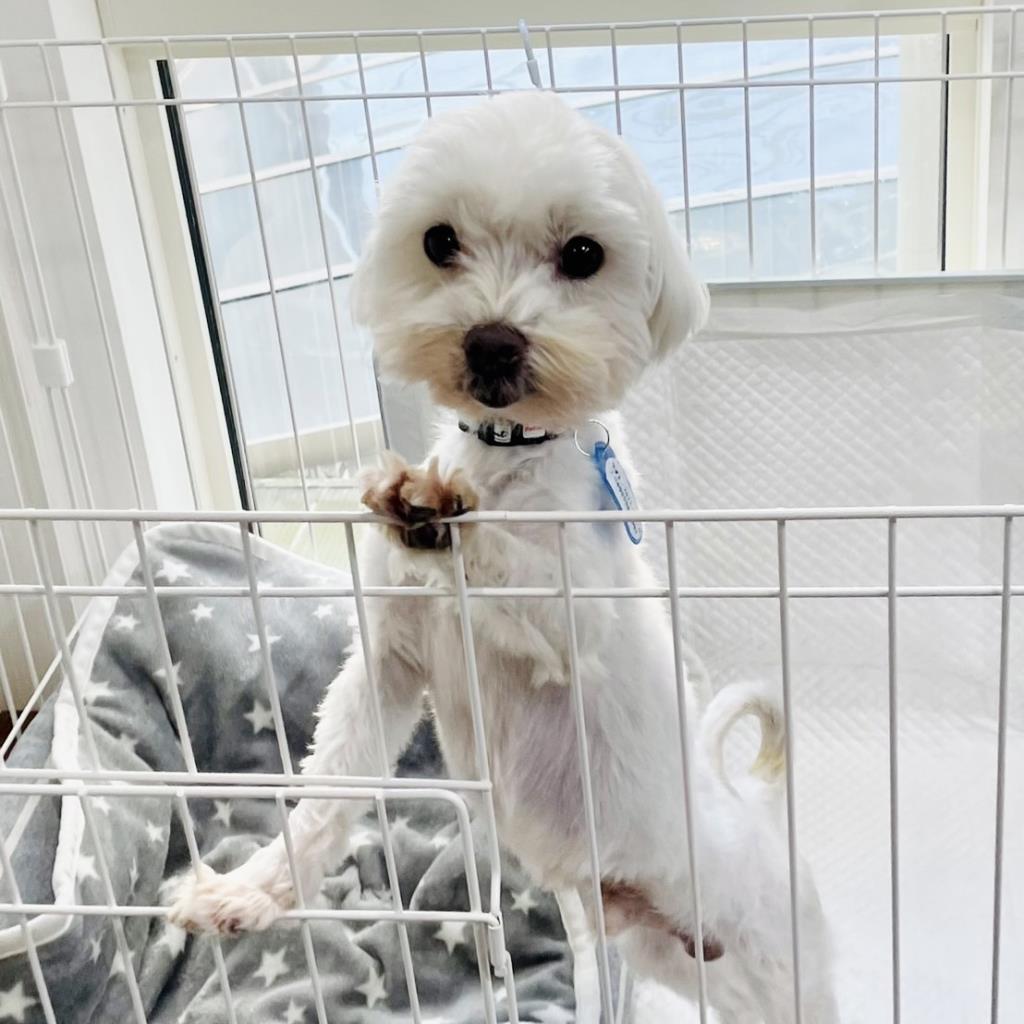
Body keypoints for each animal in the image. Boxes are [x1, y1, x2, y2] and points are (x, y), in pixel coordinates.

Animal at [169, 90, 836, 1023]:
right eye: (438, 240)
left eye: (584, 253)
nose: (490, 341)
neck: (504, 458)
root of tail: (755, 808)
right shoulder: (388, 665)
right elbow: (331, 789)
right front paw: (249, 891)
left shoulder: (575, 618)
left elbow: (523, 573)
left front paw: (440, 514)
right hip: (668, 950)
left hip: (783, 958)